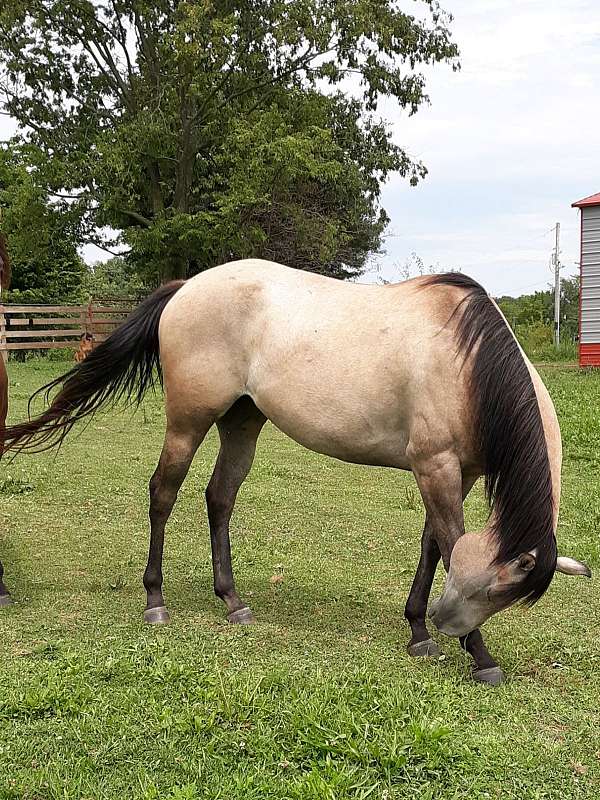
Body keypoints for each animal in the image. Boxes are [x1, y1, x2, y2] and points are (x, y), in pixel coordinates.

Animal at [0, 260, 592, 684]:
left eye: (502, 596)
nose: (451, 625)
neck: (466, 363)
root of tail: (189, 286)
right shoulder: (436, 466)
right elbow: (449, 544)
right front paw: (480, 657)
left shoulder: (455, 471)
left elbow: (433, 545)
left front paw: (419, 630)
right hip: (188, 421)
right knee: (163, 492)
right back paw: (156, 601)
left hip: (242, 421)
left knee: (219, 497)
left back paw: (232, 601)